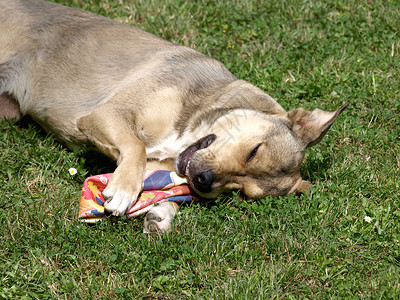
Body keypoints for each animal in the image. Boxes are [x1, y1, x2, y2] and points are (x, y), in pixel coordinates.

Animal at [0, 0, 346, 232]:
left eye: (240, 192)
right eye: (254, 151)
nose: (203, 181)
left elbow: (157, 186)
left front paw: (160, 215)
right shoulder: (106, 114)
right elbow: (135, 146)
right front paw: (124, 190)